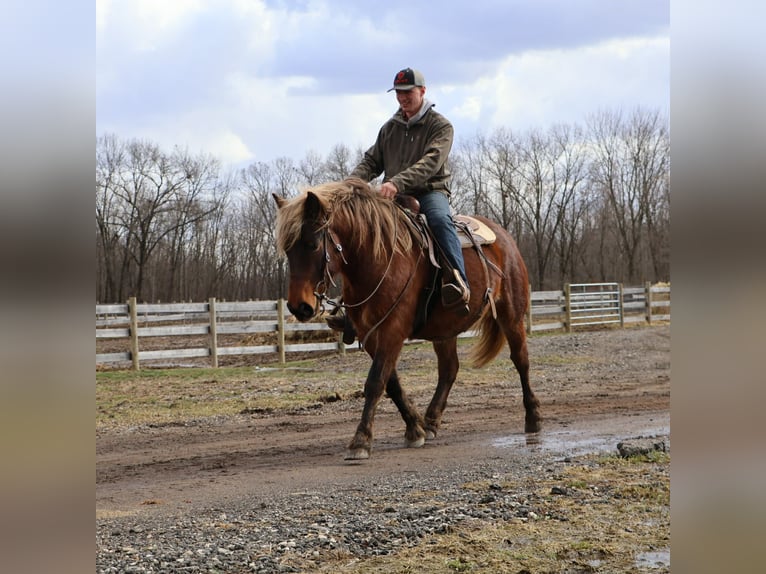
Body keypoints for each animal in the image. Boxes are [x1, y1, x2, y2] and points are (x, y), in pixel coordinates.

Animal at [273, 178, 541, 460]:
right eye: (287, 250)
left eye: (313, 245)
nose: (299, 307)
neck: (376, 260)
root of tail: (505, 238)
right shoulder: (370, 333)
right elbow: (391, 382)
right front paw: (415, 428)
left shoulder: (393, 329)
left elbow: (375, 381)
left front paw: (360, 440)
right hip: (444, 330)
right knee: (449, 369)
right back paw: (431, 421)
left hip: (512, 316)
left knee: (521, 360)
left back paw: (533, 417)